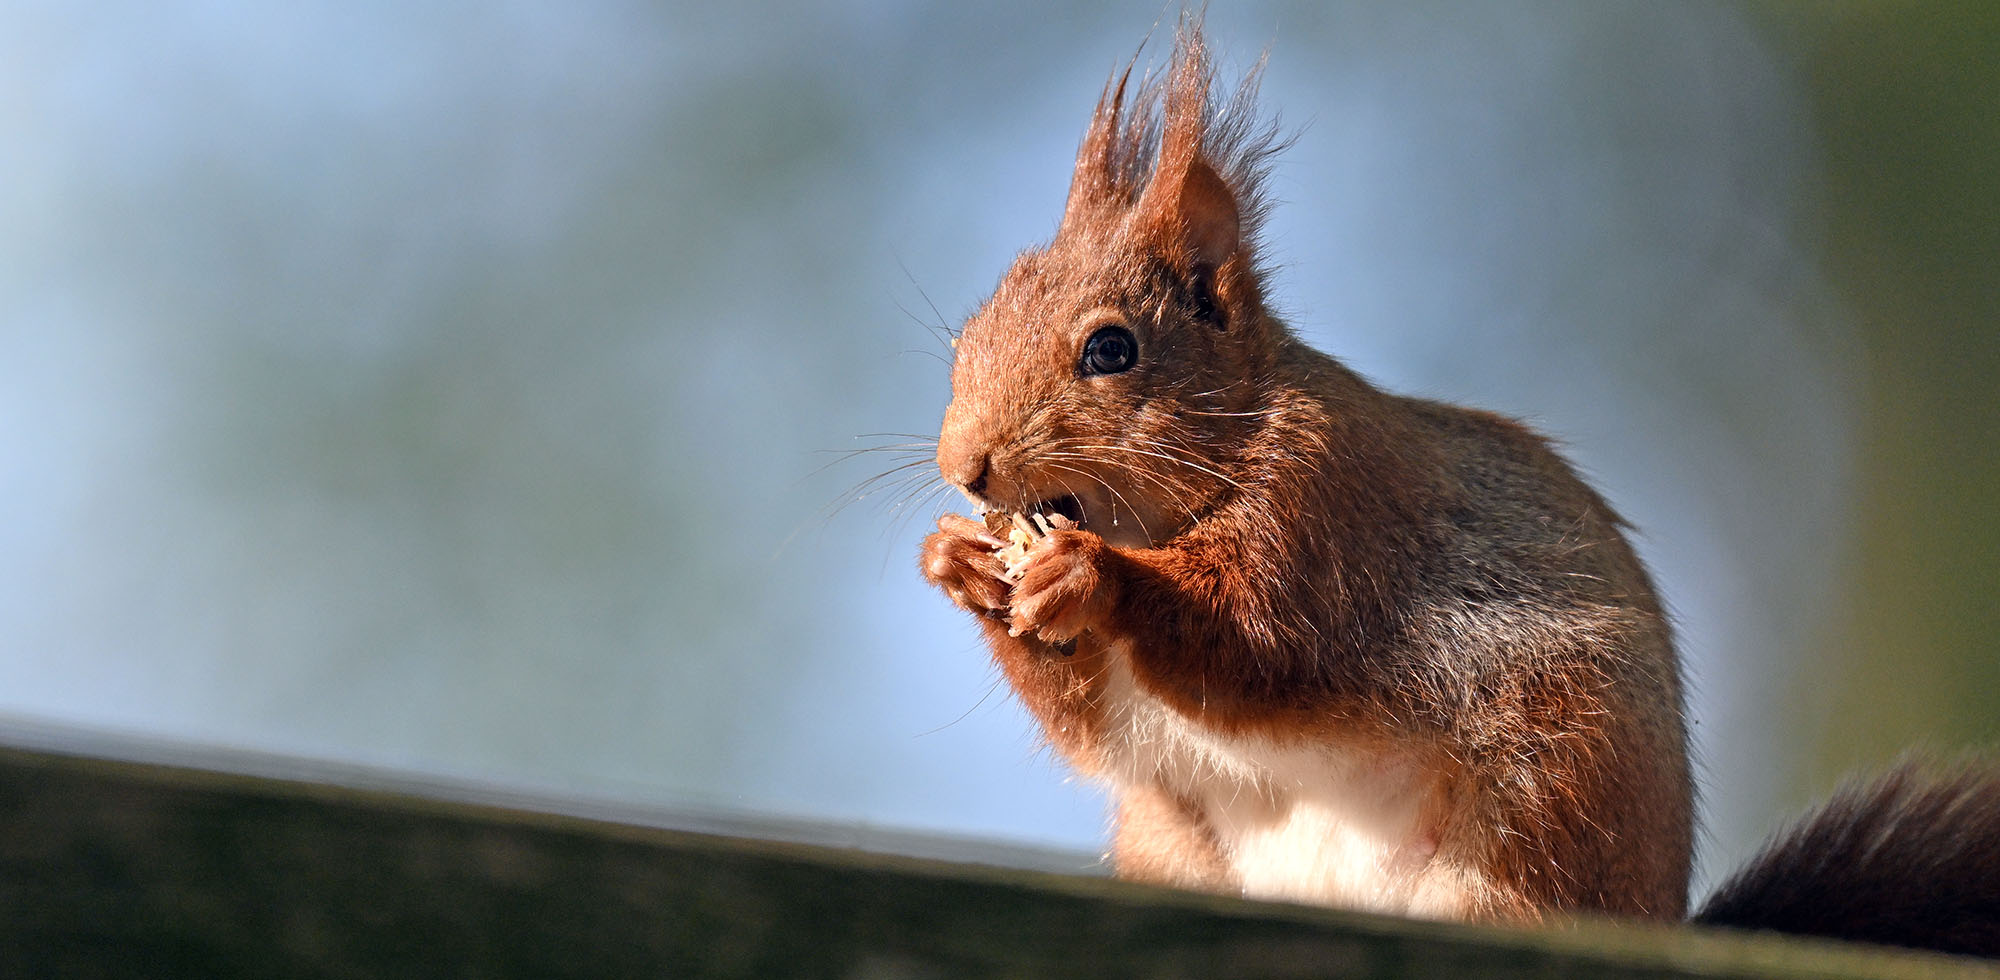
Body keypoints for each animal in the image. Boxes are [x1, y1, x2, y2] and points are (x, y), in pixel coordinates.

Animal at [917, 22, 2000, 958]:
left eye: (1111, 349)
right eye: (968, 338)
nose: (965, 467)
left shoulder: (1332, 507)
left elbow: (1253, 638)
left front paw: (1091, 575)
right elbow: (1092, 721)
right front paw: (961, 562)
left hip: (1542, 805)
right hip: (1172, 840)